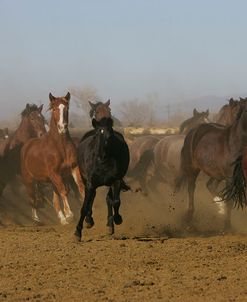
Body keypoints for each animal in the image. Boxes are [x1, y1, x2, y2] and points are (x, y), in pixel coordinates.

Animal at [20, 92, 84, 224]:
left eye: (67, 108)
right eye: (54, 109)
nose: (62, 127)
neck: (60, 147)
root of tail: (26, 145)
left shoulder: (73, 168)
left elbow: (80, 188)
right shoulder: (54, 173)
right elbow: (64, 191)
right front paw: (70, 215)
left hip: (51, 180)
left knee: (55, 200)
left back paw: (61, 219)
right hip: (29, 180)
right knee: (32, 198)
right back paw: (36, 219)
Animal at [175, 100, 247, 230]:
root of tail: (193, 131)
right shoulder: (230, 178)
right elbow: (230, 201)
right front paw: (227, 226)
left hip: (216, 174)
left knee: (209, 186)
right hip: (192, 168)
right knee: (191, 188)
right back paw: (189, 217)